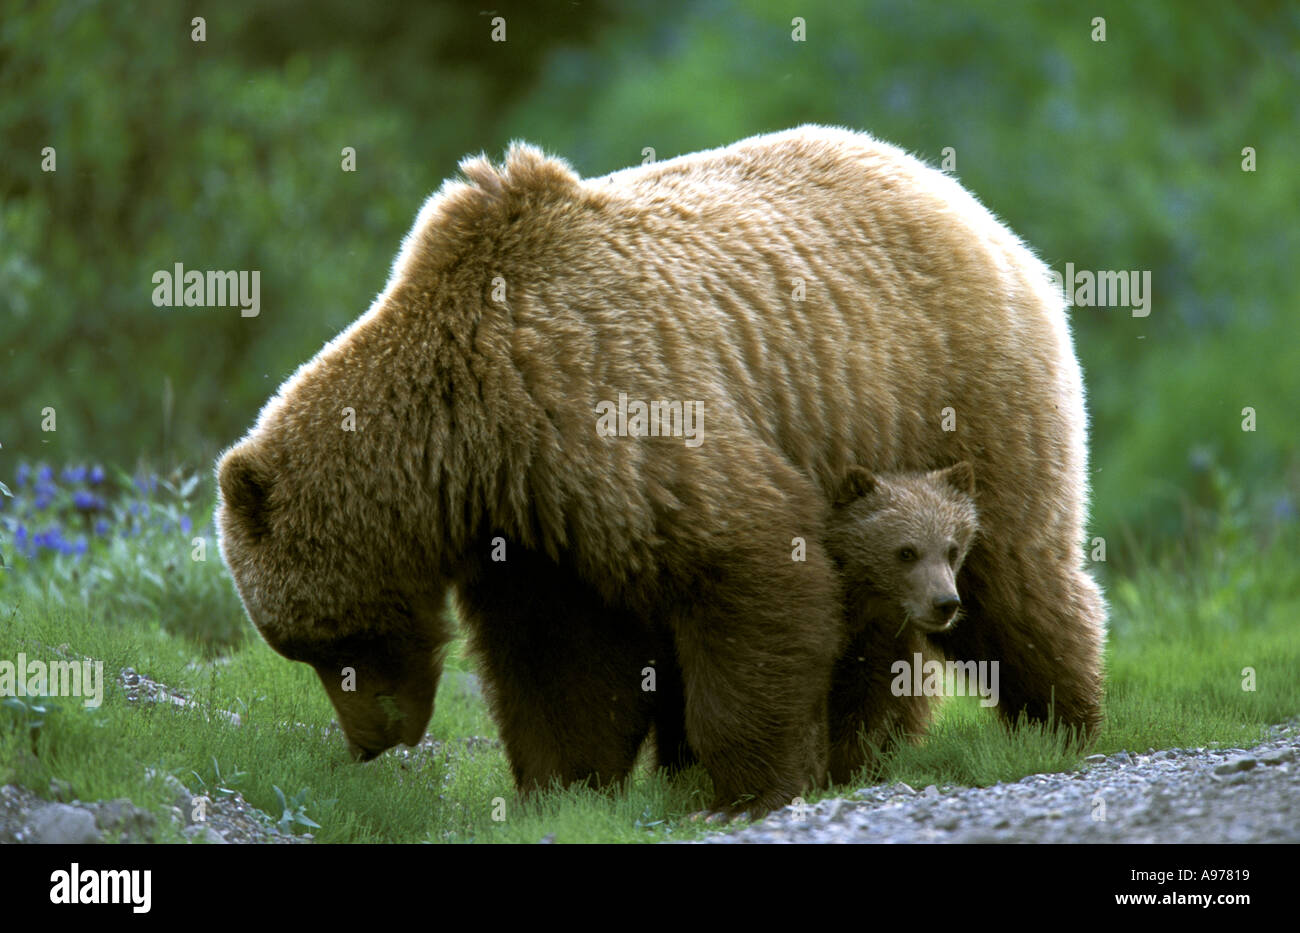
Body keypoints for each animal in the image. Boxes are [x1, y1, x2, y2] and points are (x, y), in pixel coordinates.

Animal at [823, 462, 979, 785]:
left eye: (952, 550)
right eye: (906, 551)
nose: (945, 603)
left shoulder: (881, 645)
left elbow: (872, 707)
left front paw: (851, 767)